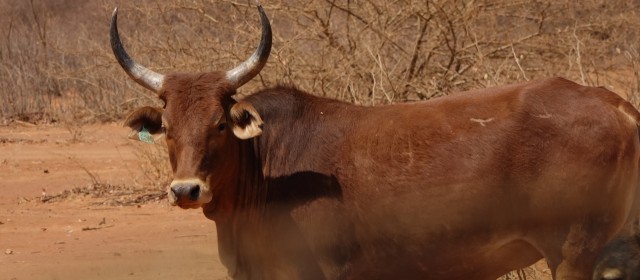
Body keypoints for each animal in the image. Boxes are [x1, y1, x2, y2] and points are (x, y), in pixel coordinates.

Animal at [112, 4, 640, 280]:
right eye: (168, 125)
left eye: (220, 124)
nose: (186, 190)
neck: (265, 168)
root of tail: (611, 101)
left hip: (571, 255)